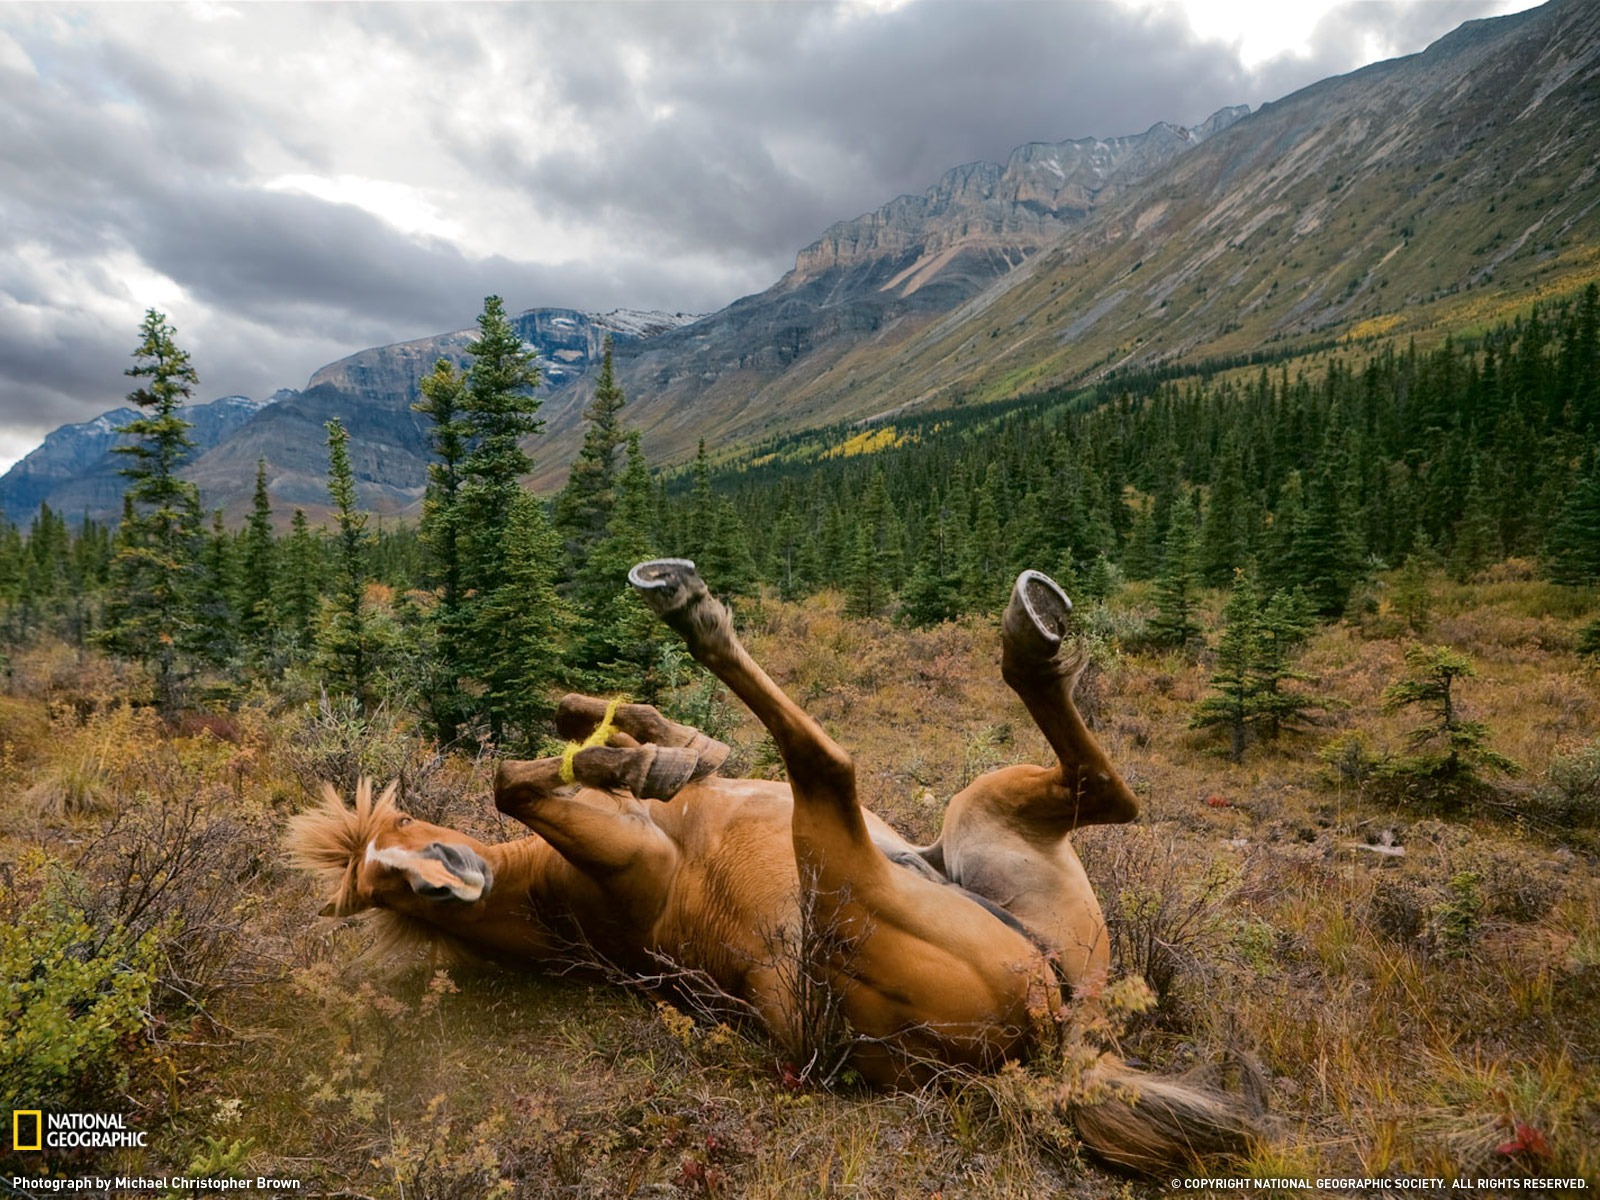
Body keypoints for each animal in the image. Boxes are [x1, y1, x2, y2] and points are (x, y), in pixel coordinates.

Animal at [291, 563, 1260, 1177]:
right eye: (395, 891)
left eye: (401, 832)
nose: (444, 877)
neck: (564, 904)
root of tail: (1054, 1049)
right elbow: (515, 779)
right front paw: (630, 759)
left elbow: (613, 726)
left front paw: (645, 747)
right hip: (847, 860)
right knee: (830, 765)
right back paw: (692, 607)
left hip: (985, 824)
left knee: (1105, 791)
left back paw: (1035, 627)